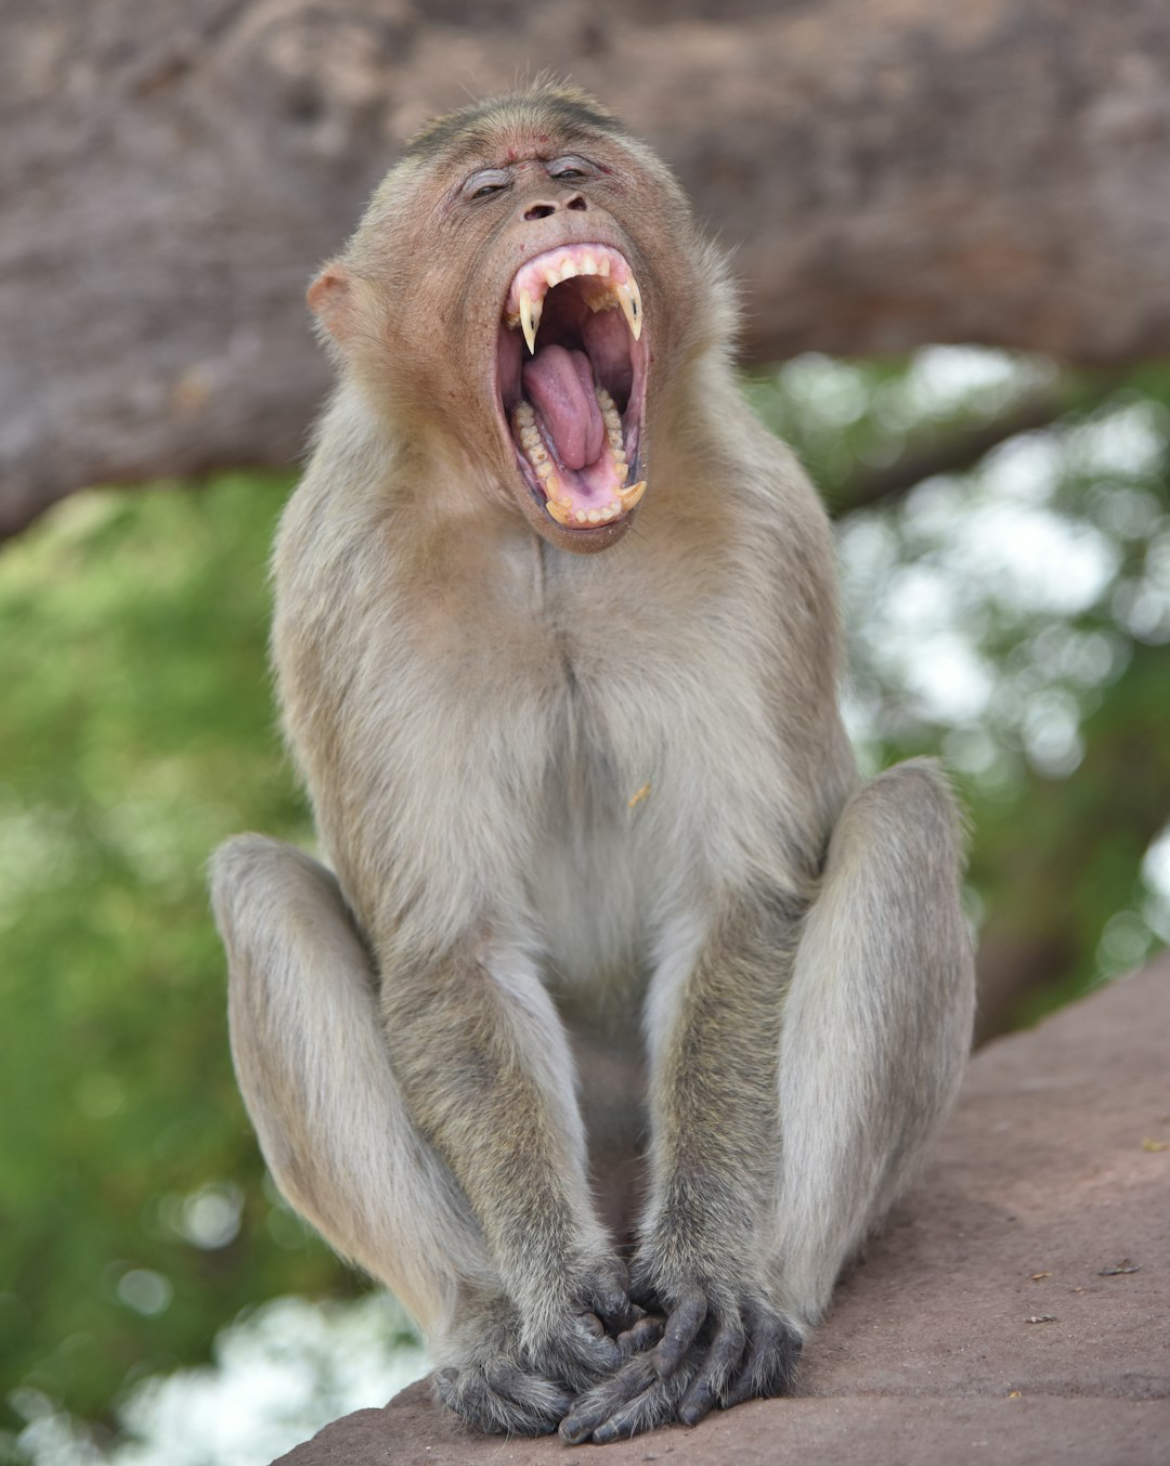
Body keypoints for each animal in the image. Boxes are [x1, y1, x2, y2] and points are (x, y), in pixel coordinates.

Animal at [209, 83, 975, 1444]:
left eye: (577, 166)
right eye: (483, 192)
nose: (552, 202)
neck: (543, 539)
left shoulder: (762, 523)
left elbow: (741, 898)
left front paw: (715, 1271)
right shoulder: (341, 572)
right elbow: (447, 945)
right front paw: (553, 1291)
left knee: (905, 818)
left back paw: (765, 1293)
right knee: (262, 889)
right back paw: (483, 1328)